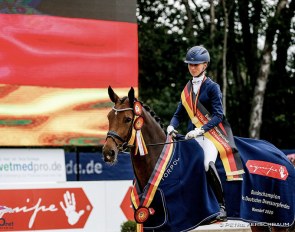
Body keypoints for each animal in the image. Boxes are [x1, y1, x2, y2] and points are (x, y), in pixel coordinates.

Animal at [102, 87, 294, 232]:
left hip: (280, 221)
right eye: (109, 117)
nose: (108, 152)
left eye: (128, 119)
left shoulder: (177, 221)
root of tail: (283, 156)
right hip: (257, 220)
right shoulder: (152, 223)